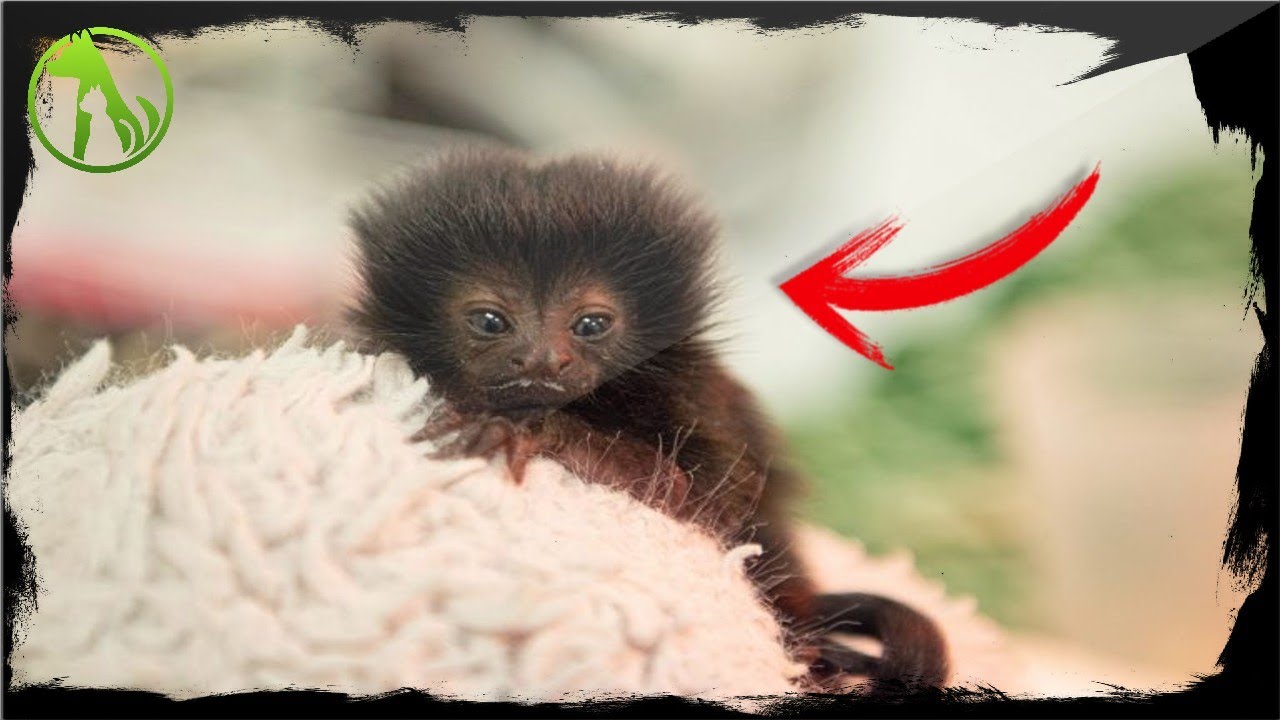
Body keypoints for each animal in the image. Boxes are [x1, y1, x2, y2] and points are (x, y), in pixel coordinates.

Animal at [345, 146, 949, 693]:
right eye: (491, 321)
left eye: (590, 325)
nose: (542, 360)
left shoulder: (693, 392)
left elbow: (689, 500)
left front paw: (526, 428)